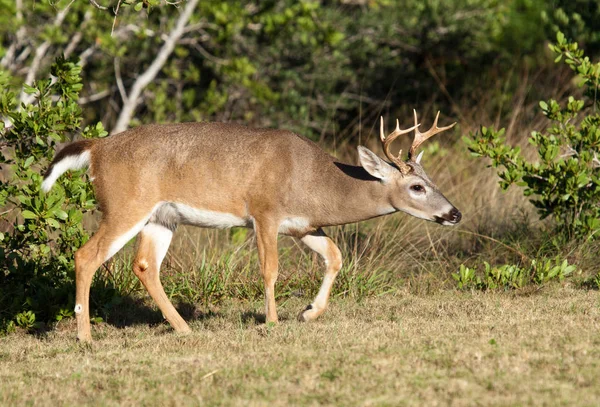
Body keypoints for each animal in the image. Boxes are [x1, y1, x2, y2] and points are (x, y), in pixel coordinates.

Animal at [42, 110, 462, 342]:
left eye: (431, 179)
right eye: (417, 186)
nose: (454, 213)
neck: (312, 180)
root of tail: (96, 148)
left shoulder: (303, 225)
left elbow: (336, 257)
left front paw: (309, 312)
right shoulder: (264, 212)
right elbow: (270, 269)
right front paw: (273, 321)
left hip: (161, 217)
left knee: (144, 265)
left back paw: (184, 328)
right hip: (126, 205)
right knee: (86, 255)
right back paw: (85, 336)